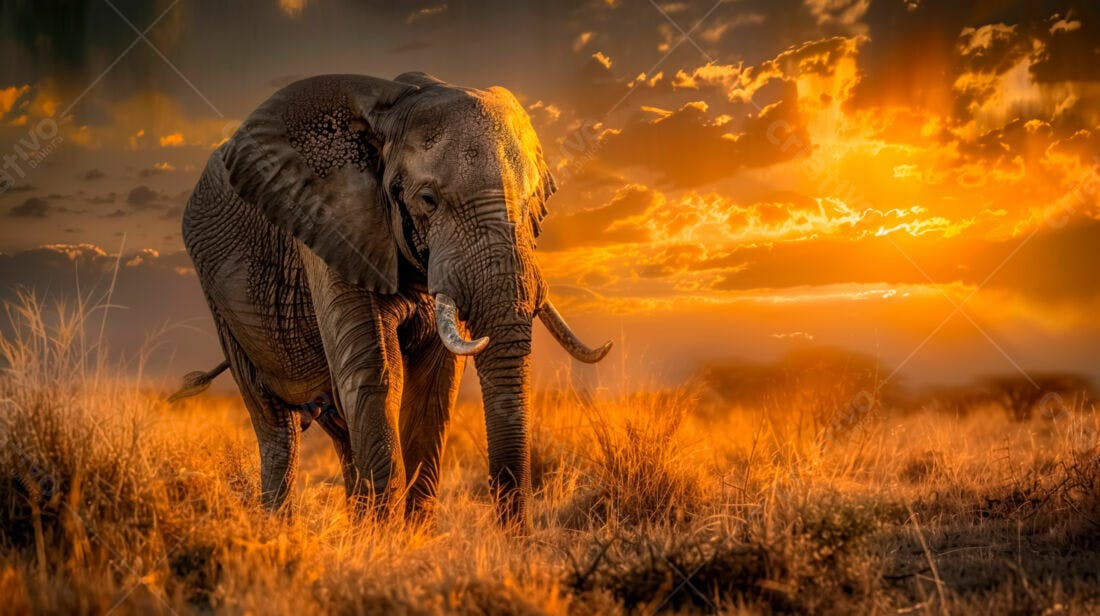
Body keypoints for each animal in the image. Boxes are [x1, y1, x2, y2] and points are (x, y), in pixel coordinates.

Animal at [170, 72, 611, 528]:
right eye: (427, 200)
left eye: (533, 204)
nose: (514, 535)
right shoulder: (334, 222)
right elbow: (379, 371)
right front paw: (388, 536)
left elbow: (435, 384)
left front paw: (409, 534)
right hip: (218, 296)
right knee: (277, 427)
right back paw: (280, 526)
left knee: (339, 423)